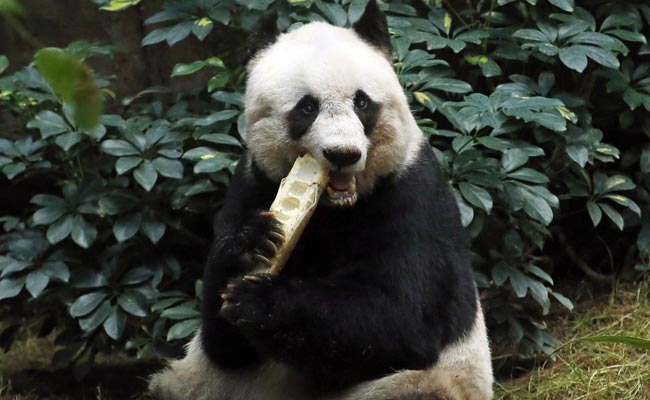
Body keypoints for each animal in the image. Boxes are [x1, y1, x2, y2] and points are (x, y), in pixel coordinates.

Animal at [147, 1, 492, 398]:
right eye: (307, 107)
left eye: (362, 102)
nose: (342, 154)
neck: (335, 209)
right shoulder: (252, 182)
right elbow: (224, 343)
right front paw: (250, 244)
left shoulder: (413, 194)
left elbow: (402, 316)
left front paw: (261, 302)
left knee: (417, 385)